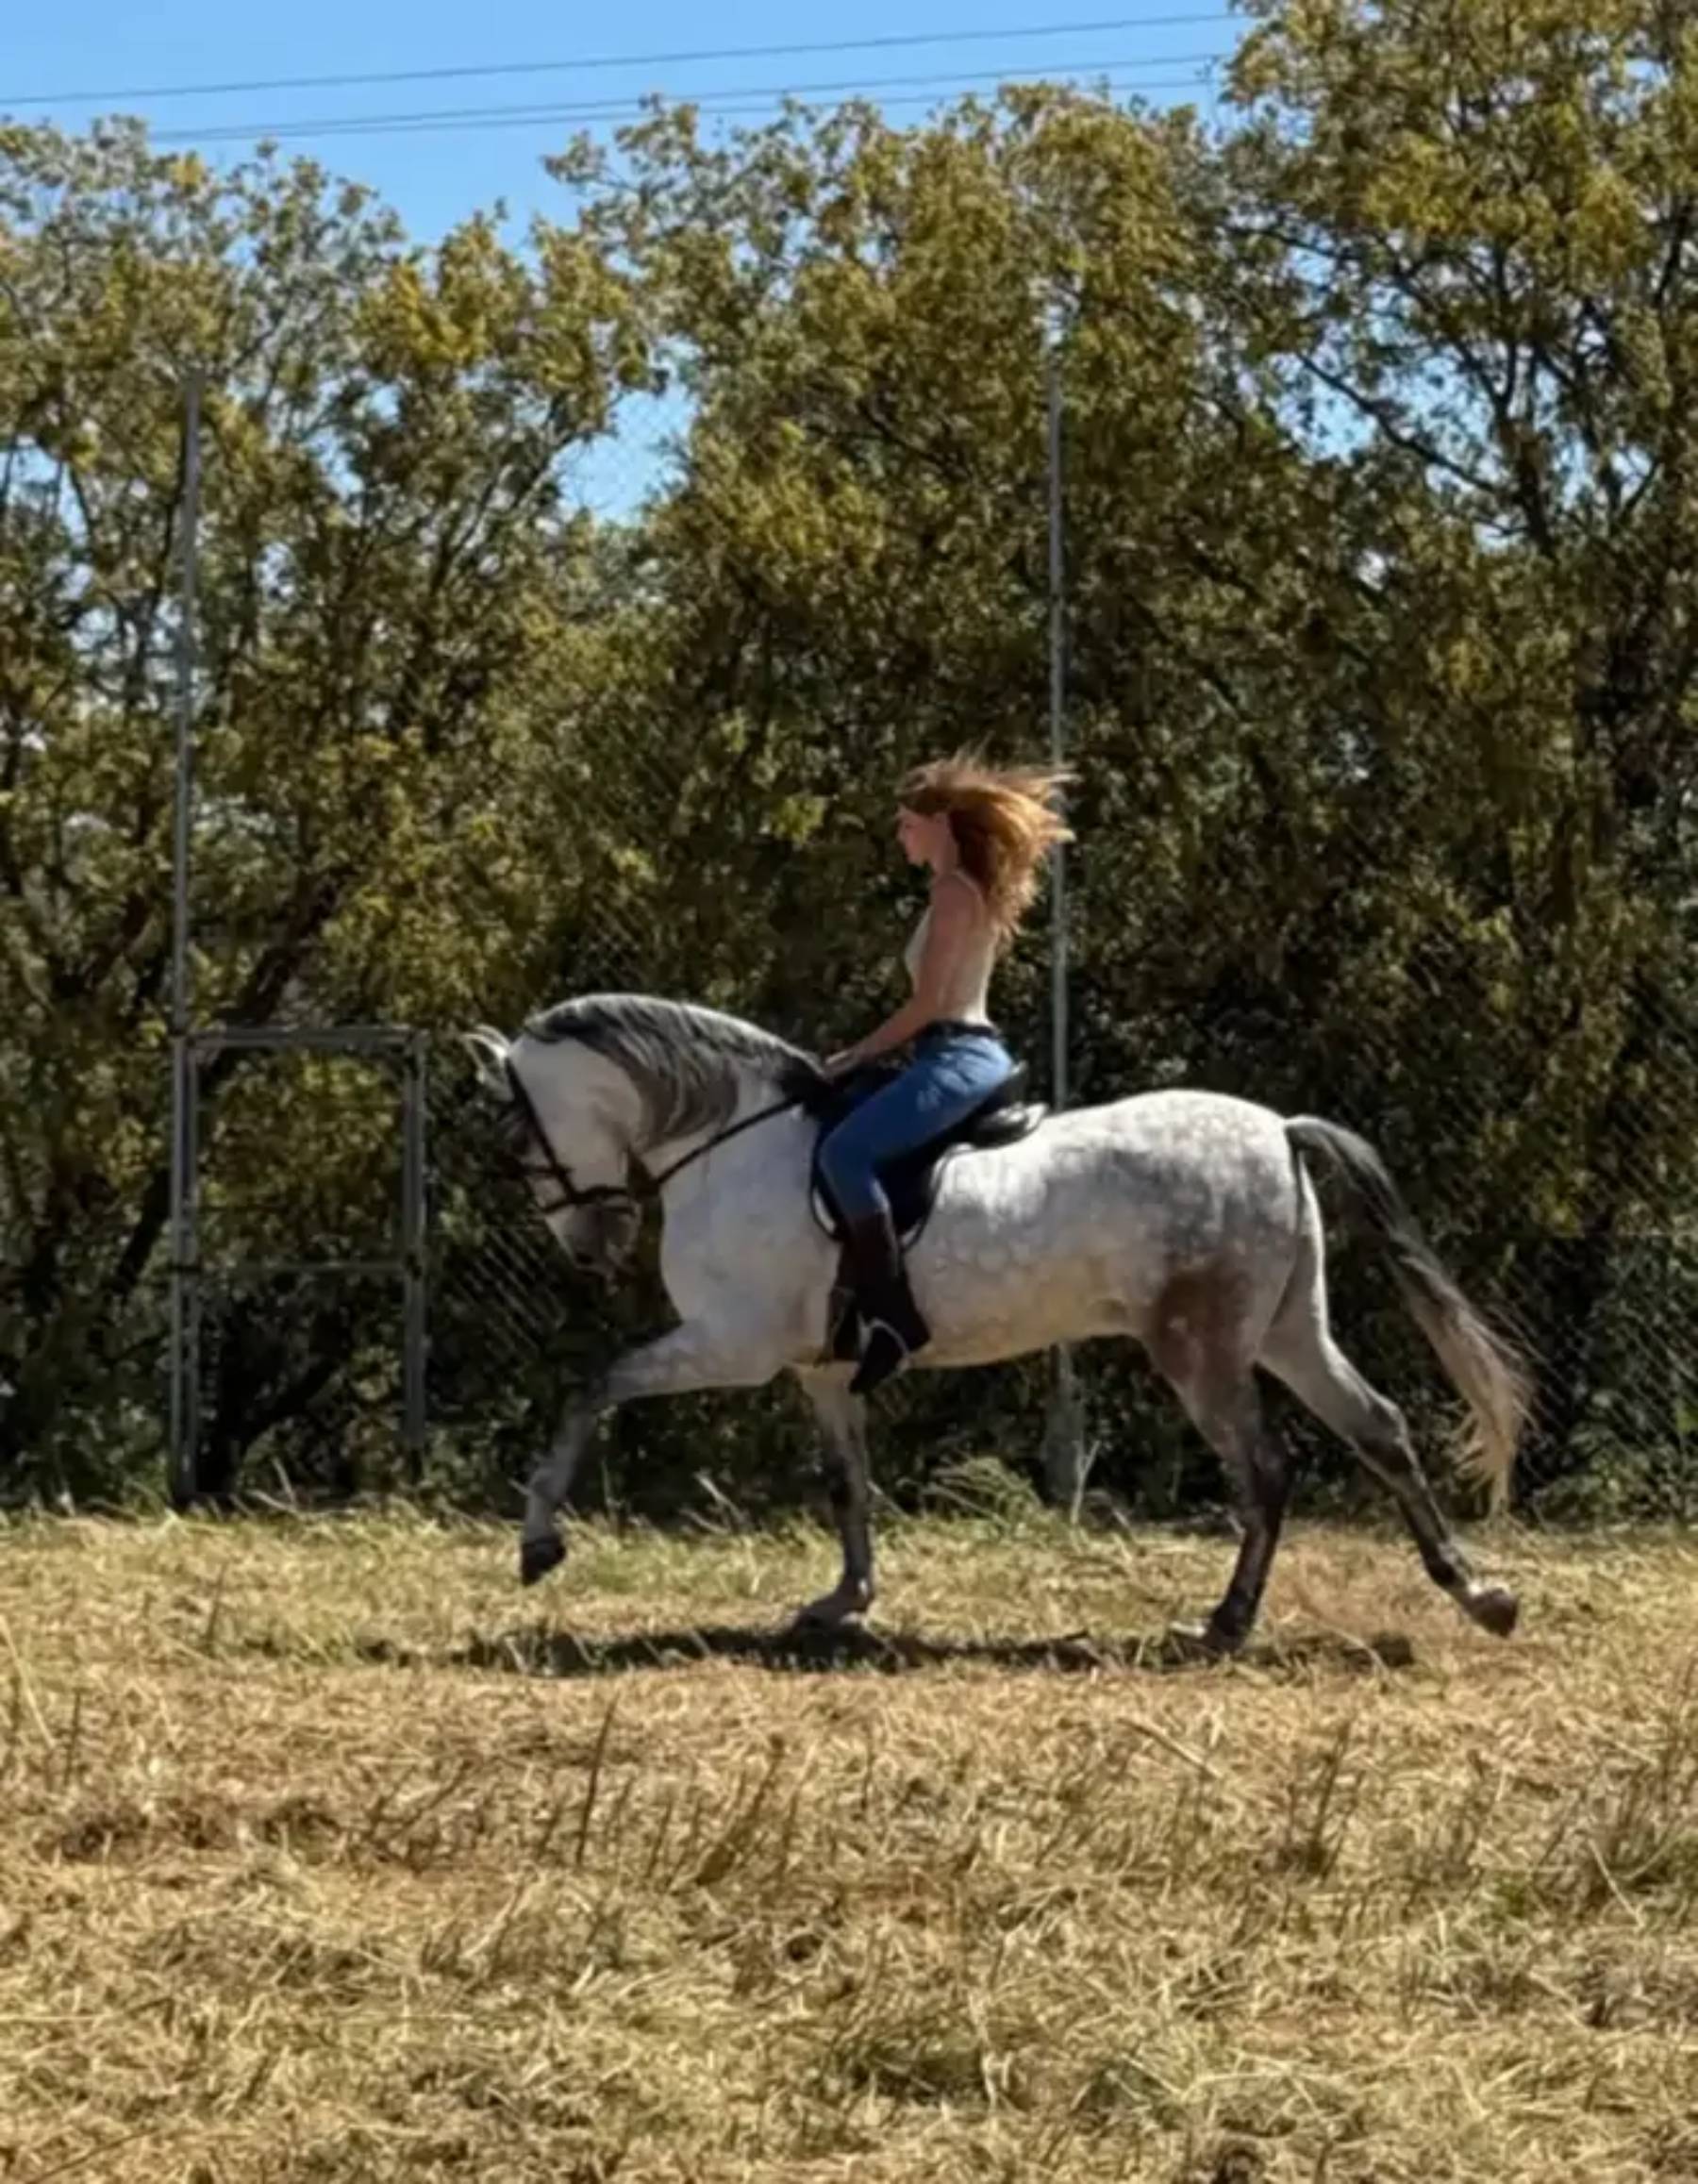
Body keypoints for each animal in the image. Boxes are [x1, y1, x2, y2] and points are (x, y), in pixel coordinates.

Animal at [462, 993, 1528, 1653]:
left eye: (514, 1135)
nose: (596, 1242)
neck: (729, 1144)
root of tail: (1277, 1127)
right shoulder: (818, 1368)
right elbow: (847, 1481)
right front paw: (843, 1602)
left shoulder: (734, 1344)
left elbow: (593, 1385)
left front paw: (538, 1544)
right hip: (1287, 1330)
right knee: (1379, 1428)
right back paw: (1479, 1594)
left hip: (1203, 1350)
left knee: (1266, 1470)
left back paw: (1225, 1623)